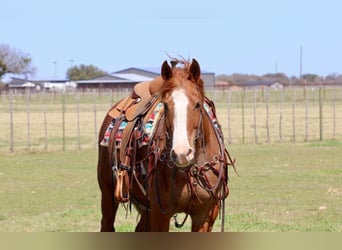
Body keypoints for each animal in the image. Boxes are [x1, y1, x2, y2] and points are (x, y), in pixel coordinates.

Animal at [97, 58, 234, 232]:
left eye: (197, 104)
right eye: (166, 105)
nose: (182, 153)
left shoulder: (206, 215)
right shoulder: (160, 214)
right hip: (108, 192)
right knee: (107, 224)